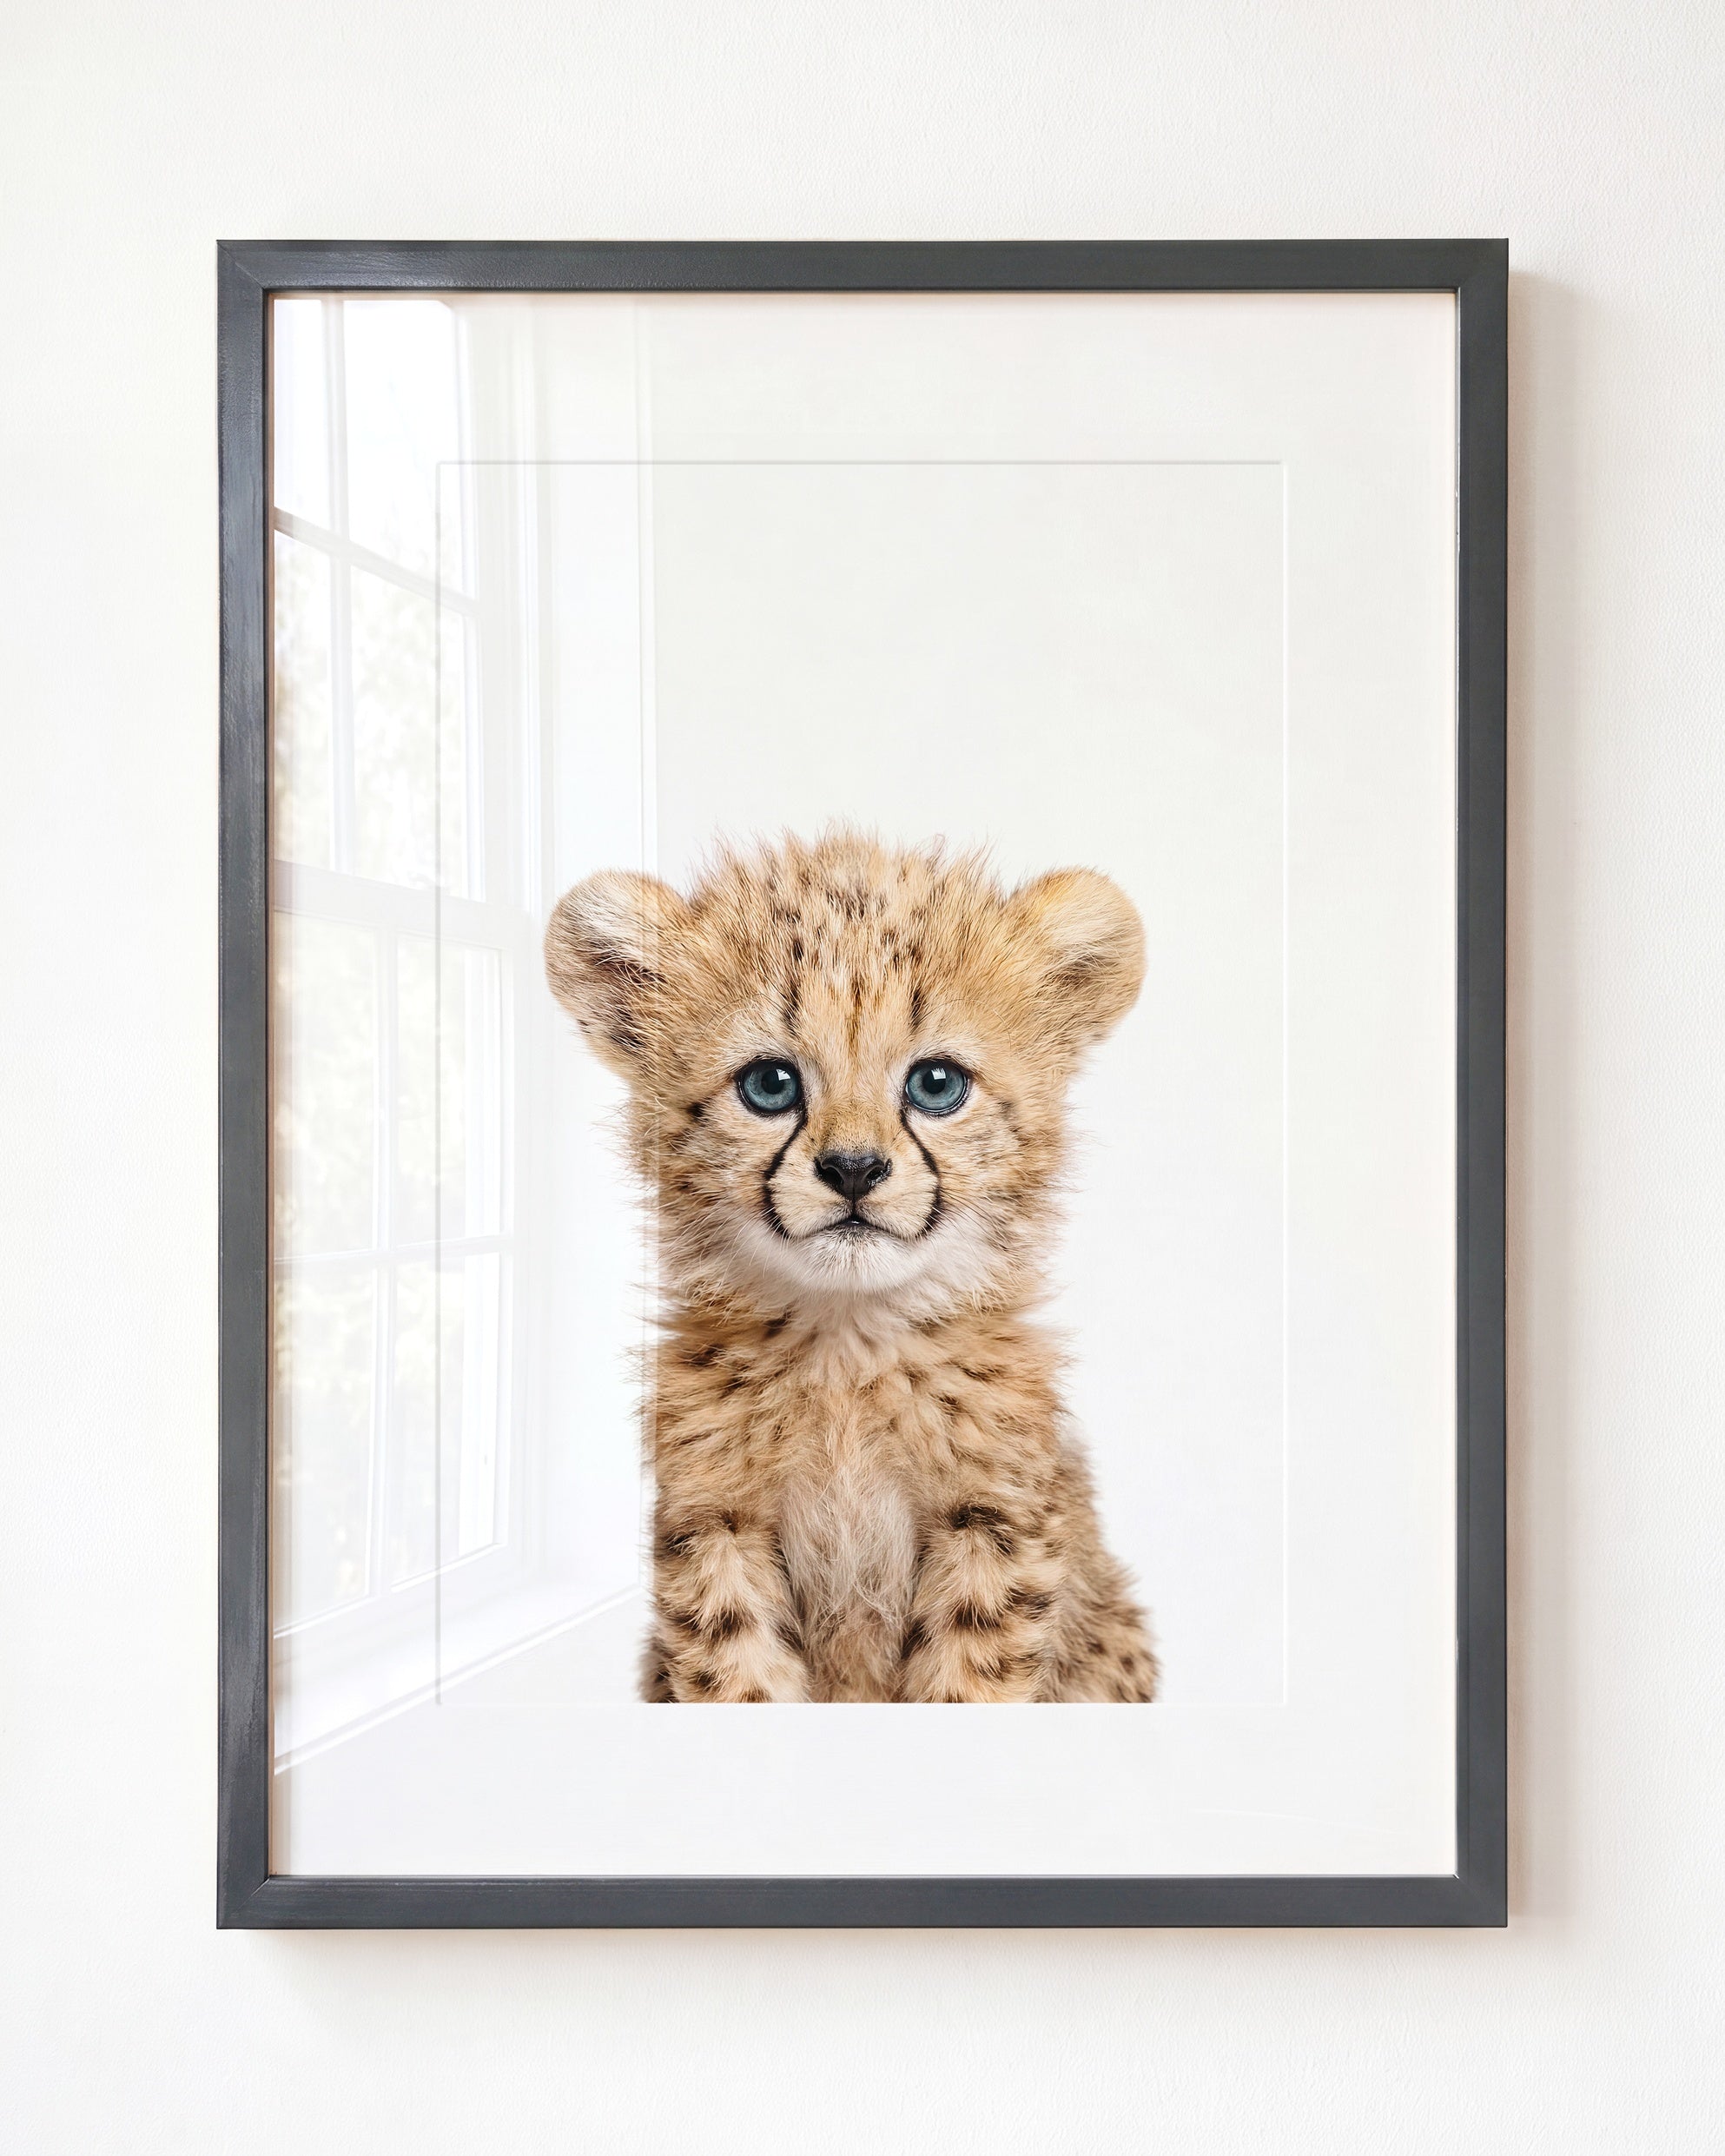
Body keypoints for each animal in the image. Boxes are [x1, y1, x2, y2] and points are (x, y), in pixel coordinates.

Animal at [544, 828, 1159, 1703]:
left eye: (936, 1084)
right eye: (770, 1085)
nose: (855, 1169)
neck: (847, 1345)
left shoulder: (993, 1524)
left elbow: (969, 1681)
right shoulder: (716, 1525)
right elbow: (739, 1675)